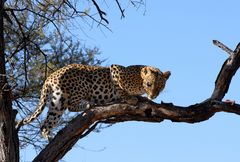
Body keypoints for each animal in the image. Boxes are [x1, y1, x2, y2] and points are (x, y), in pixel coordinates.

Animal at [15, 64, 171, 140]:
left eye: (160, 86)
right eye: (149, 84)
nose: (153, 96)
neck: (139, 80)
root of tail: (50, 77)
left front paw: (142, 98)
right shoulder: (115, 70)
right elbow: (120, 89)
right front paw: (130, 98)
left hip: (57, 102)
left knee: (45, 124)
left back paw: (48, 137)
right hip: (79, 86)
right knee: (71, 105)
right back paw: (89, 104)